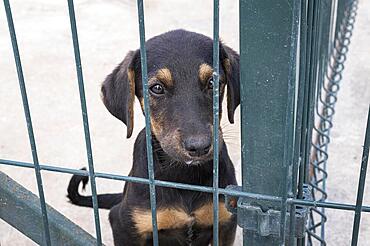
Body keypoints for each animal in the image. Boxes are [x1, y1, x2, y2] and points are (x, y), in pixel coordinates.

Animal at [67, 29, 240, 245]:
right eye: (157, 88)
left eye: (213, 82)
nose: (199, 147)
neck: (183, 175)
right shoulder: (125, 223)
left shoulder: (226, 222)